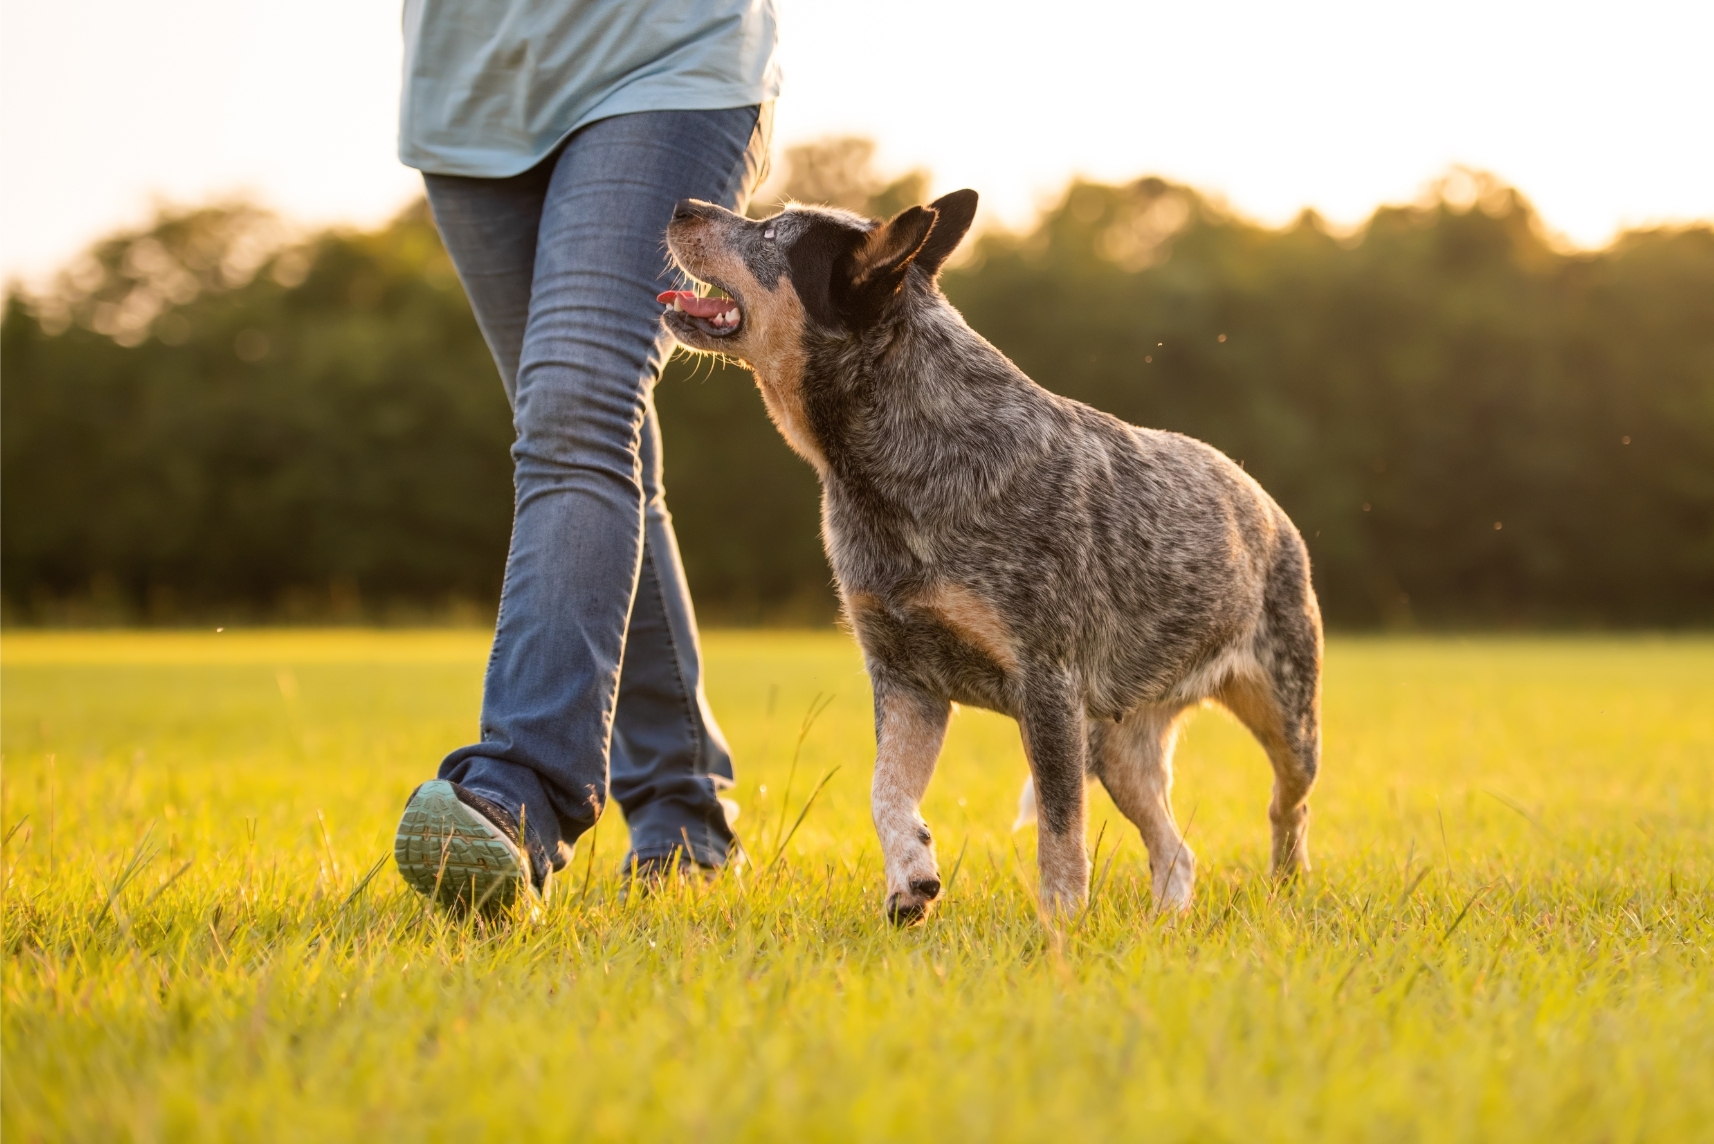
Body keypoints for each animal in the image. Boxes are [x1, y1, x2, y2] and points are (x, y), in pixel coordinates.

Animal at [661, 187, 1316, 919]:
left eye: (774, 233)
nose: (684, 204)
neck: (896, 465)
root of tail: (1262, 499)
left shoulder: (1048, 686)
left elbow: (1061, 833)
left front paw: (1061, 929)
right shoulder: (906, 677)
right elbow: (885, 792)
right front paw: (910, 878)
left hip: (1288, 715)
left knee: (1286, 805)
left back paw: (1286, 885)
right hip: (1118, 746)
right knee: (1177, 852)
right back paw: (1167, 923)